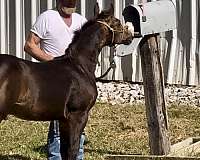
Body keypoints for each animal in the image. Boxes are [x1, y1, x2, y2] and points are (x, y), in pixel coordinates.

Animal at [0, 2, 134, 160]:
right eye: (118, 22)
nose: (131, 36)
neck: (79, 65)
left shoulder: (63, 119)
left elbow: (64, 149)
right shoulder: (78, 116)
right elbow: (72, 149)